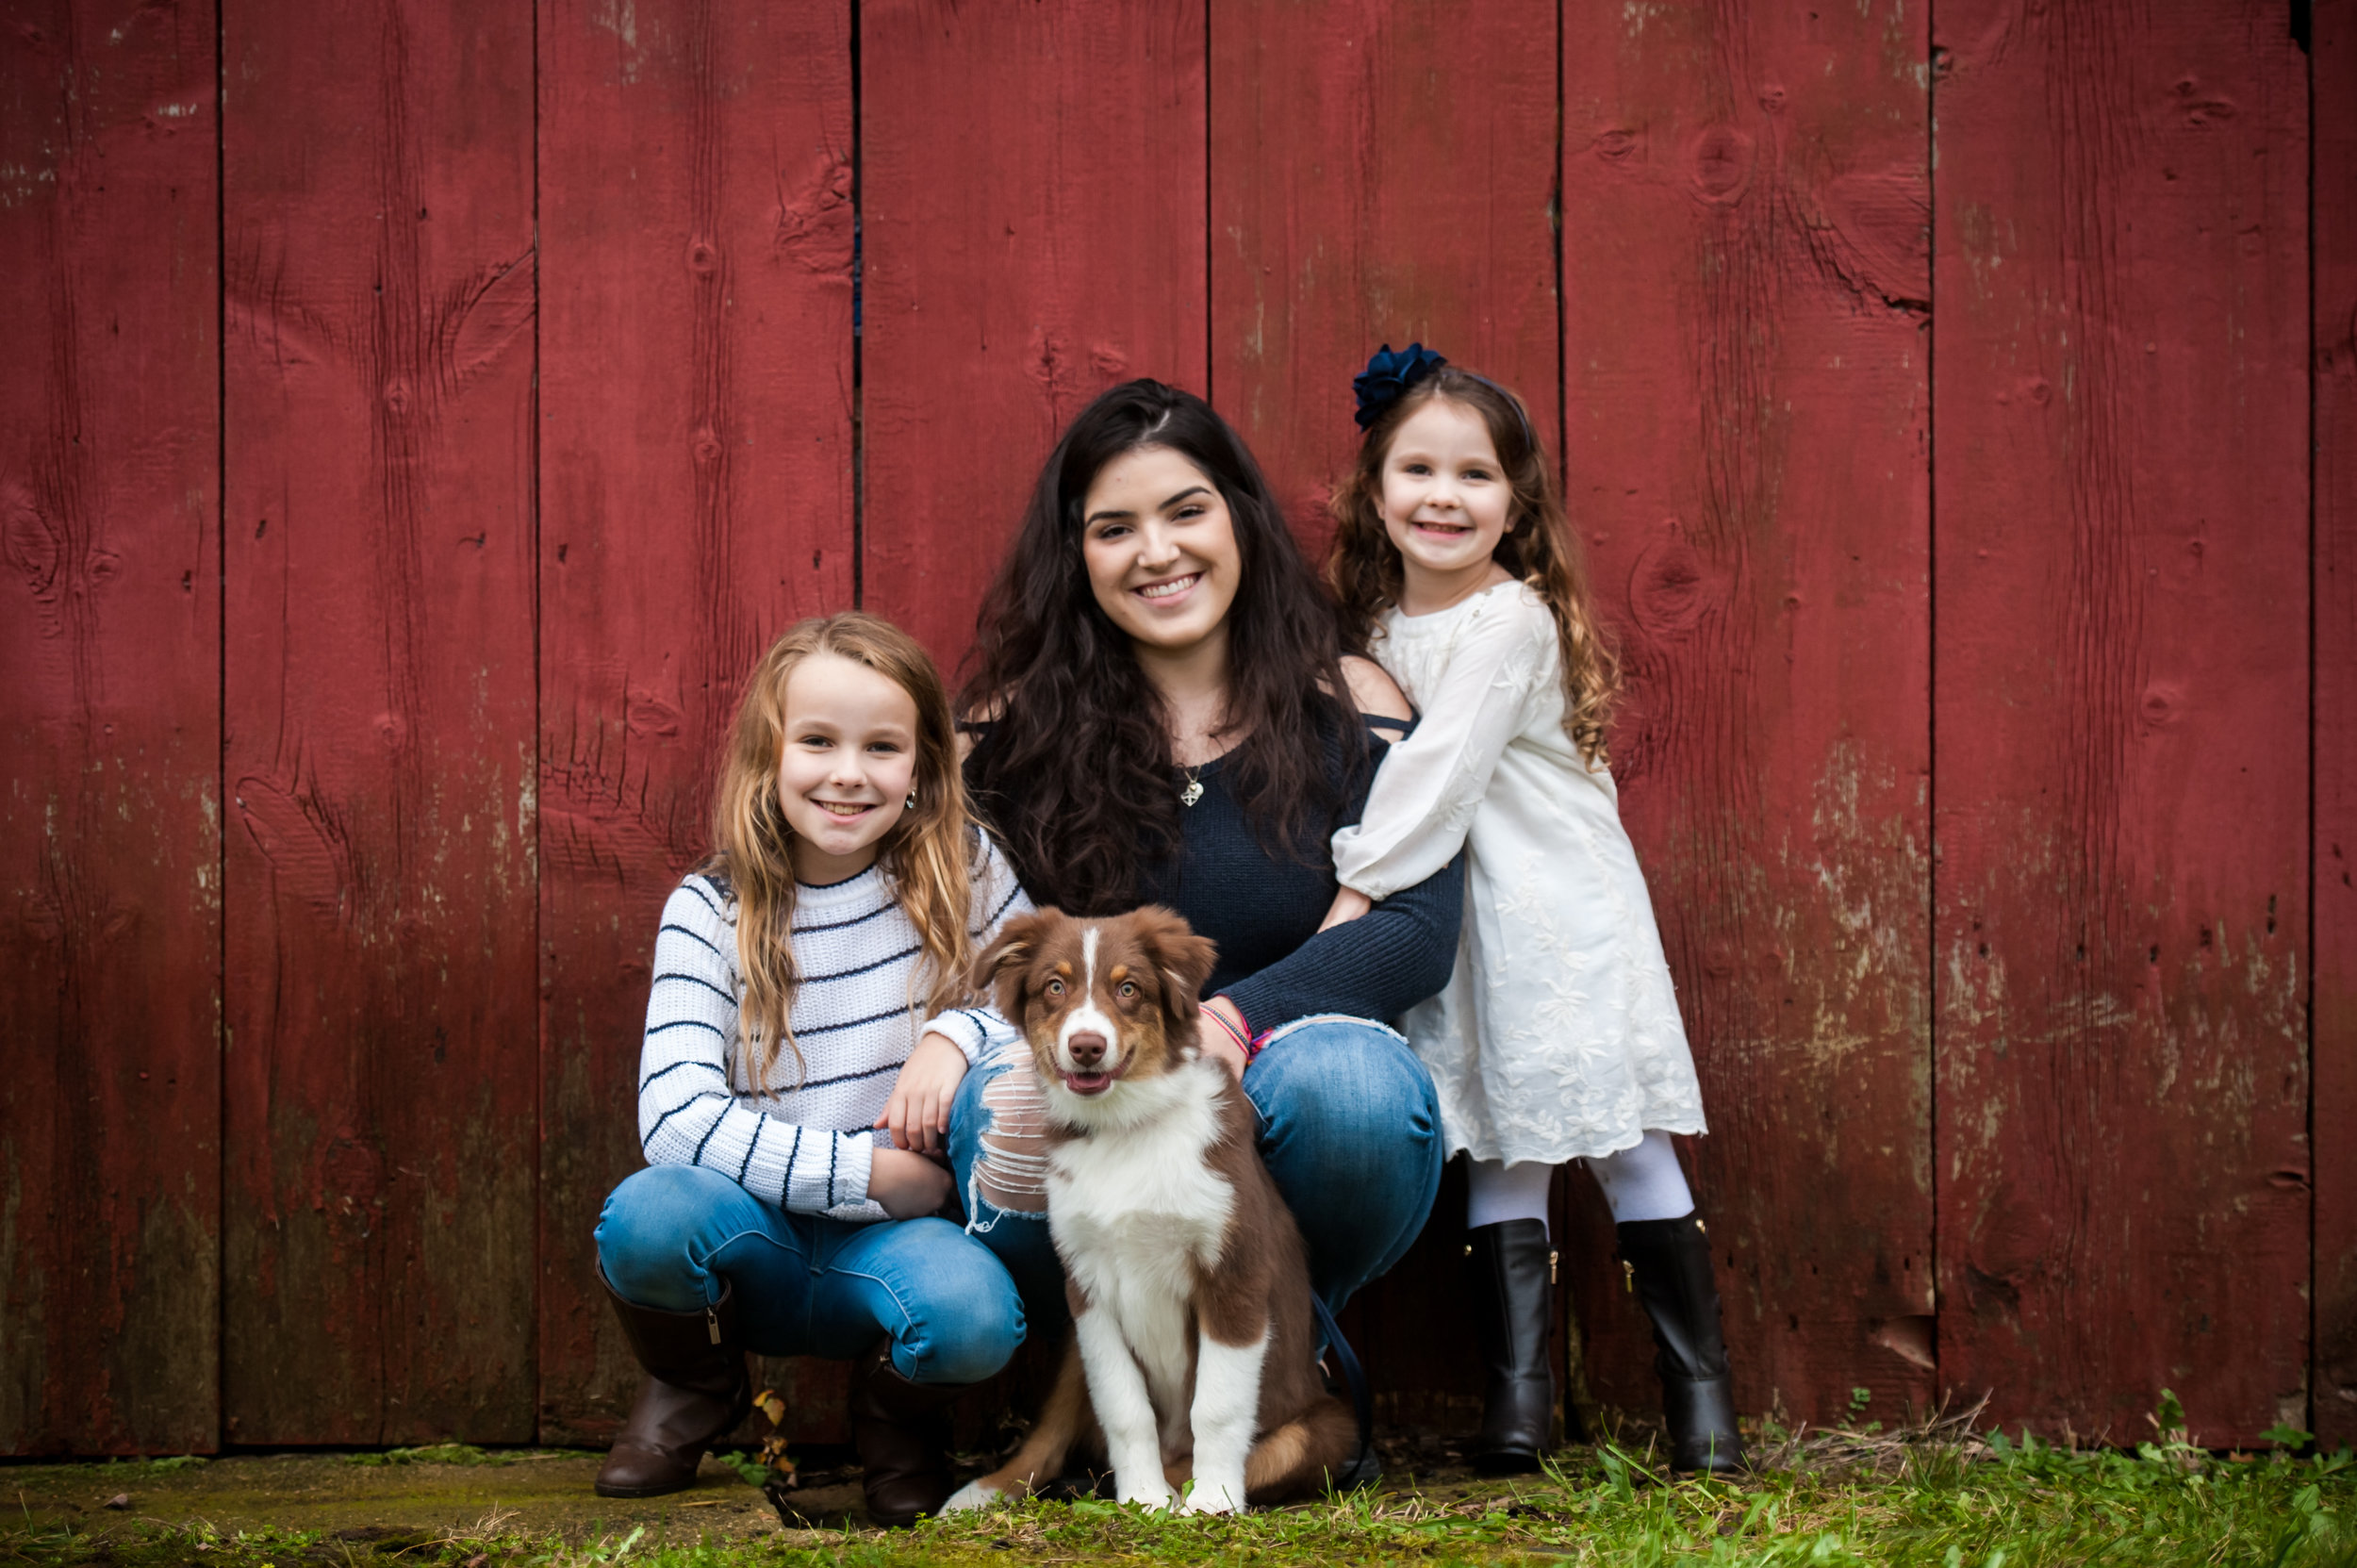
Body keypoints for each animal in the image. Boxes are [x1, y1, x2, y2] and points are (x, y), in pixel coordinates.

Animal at [941, 906, 1358, 1515]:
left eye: (1129, 988)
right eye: (1055, 986)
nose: (1086, 1046)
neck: (1125, 1127)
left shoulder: (1233, 1276)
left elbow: (1216, 1405)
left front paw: (1212, 1500)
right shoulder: (1087, 1289)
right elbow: (1124, 1408)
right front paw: (1140, 1497)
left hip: (1324, 1427)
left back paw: (1187, 1491)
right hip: (1074, 1352)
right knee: (1050, 1434)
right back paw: (985, 1492)